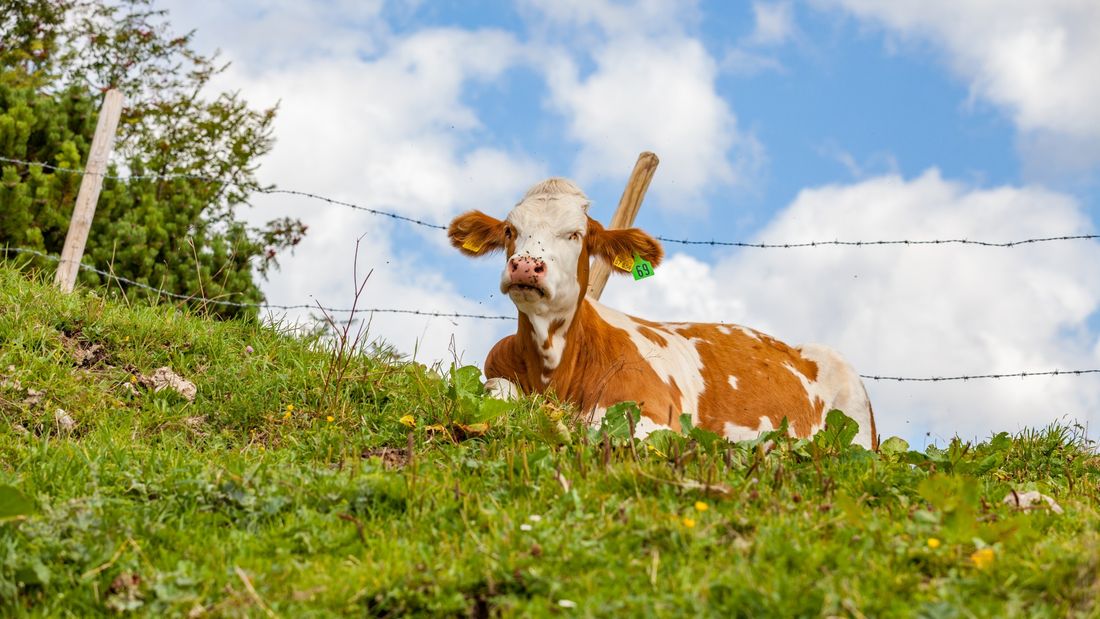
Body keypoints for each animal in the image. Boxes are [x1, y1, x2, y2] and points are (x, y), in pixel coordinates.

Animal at [448, 178, 877, 449]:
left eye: (575, 234)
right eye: (509, 231)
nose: (525, 266)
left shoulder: (652, 413)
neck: (553, 369)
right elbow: (499, 392)